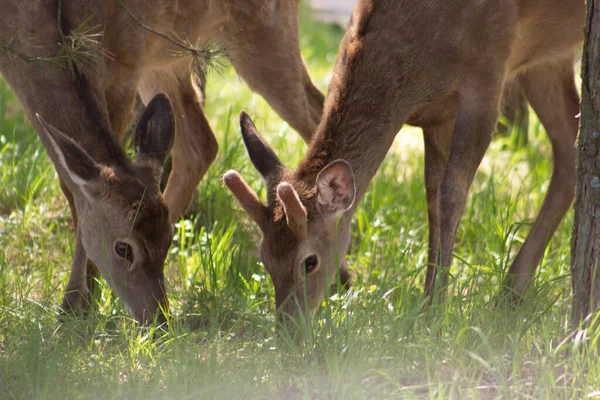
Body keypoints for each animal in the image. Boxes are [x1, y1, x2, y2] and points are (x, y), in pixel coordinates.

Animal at [0, 0, 324, 324]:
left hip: (263, 30)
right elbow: (70, 182)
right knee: (201, 142)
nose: (158, 319)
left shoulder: (122, 61)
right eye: (123, 249)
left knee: (316, 110)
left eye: (167, 239)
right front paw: (77, 305)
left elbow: (81, 181)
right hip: (169, 55)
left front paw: (75, 307)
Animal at [224, 0, 580, 320]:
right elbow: (433, 196)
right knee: (568, 147)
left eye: (309, 261)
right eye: (264, 257)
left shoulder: (488, 79)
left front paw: (435, 314)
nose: (289, 330)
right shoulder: (439, 116)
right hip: (547, 58)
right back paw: (511, 292)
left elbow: (452, 196)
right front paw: (426, 300)